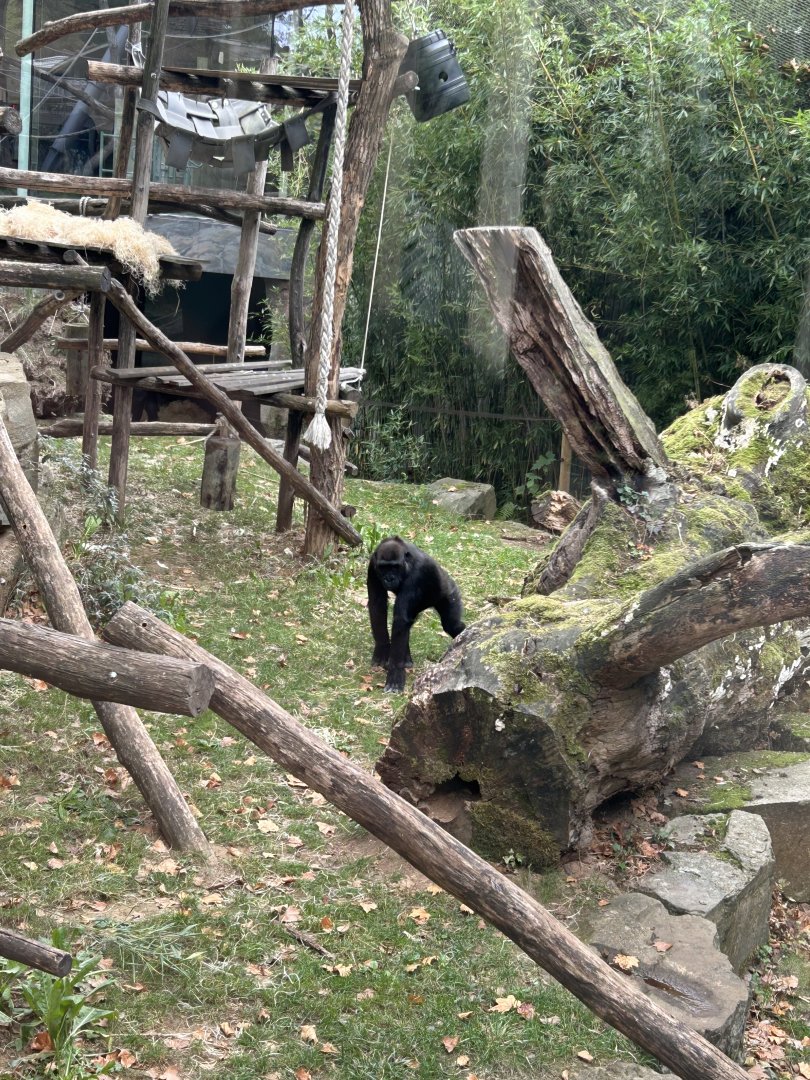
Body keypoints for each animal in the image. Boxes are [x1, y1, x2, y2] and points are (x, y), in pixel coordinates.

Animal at [367, 536, 465, 693]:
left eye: (394, 567)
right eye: (383, 567)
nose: (389, 578)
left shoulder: (417, 574)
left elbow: (400, 619)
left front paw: (395, 673)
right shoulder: (372, 565)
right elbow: (378, 605)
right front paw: (382, 649)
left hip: (450, 590)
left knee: (452, 625)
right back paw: (406, 659)